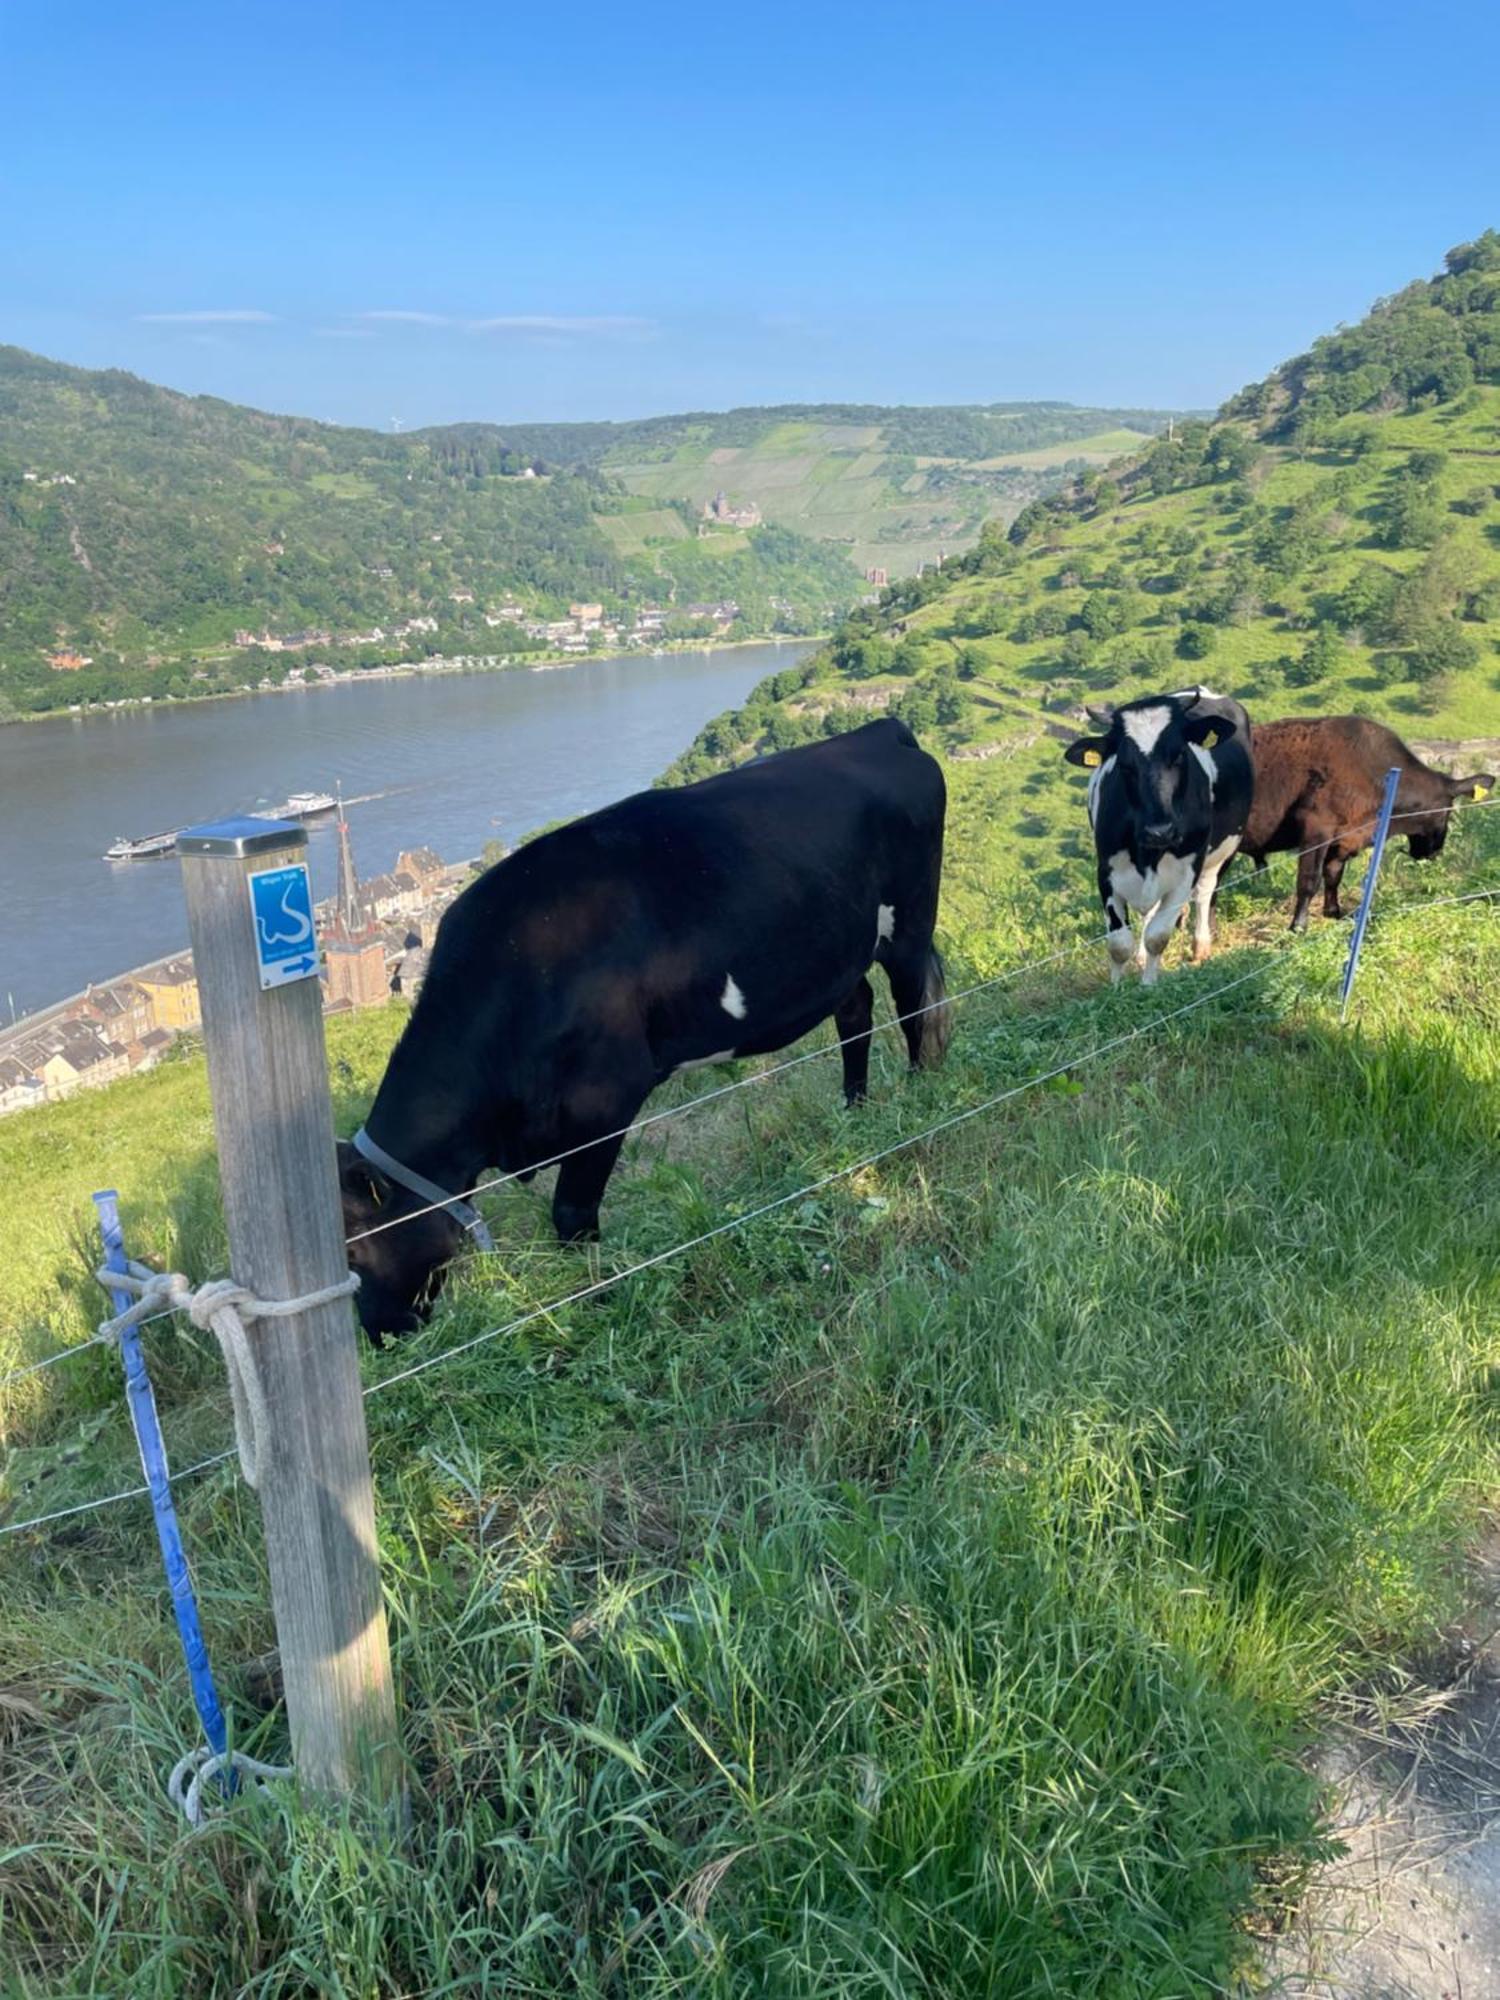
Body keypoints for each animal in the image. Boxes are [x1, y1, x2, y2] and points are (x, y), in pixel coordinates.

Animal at [340, 720, 952, 1344]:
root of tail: (877, 731)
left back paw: (921, 1091)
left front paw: (589, 1297)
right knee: (857, 1014)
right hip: (834, 954)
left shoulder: (604, 1099)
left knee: (914, 1007)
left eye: (355, 1257)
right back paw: (854, 1108)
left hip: (908, 922)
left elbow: (572, 1215)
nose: (379, 1335)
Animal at [1064, 692, 1264, 988]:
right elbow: (1119, 943)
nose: (1160, 831)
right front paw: (1117, 986)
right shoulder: (1106, 870)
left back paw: (1201, 946)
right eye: (1124, 765)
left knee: (1205, 893)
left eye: (1180, 754)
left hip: (1223, 852)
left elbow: (1157, 936)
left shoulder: (1186, 872)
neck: (1146, 854)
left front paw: (1149, 984)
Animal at [1240, 716, 1496, 932]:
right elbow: (1309, 880)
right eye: (1445, 813)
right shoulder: (1317, 829)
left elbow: (1333, 875)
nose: (1433, 853)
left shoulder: (1344, 838)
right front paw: (1298, 926)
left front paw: (1333, 912)